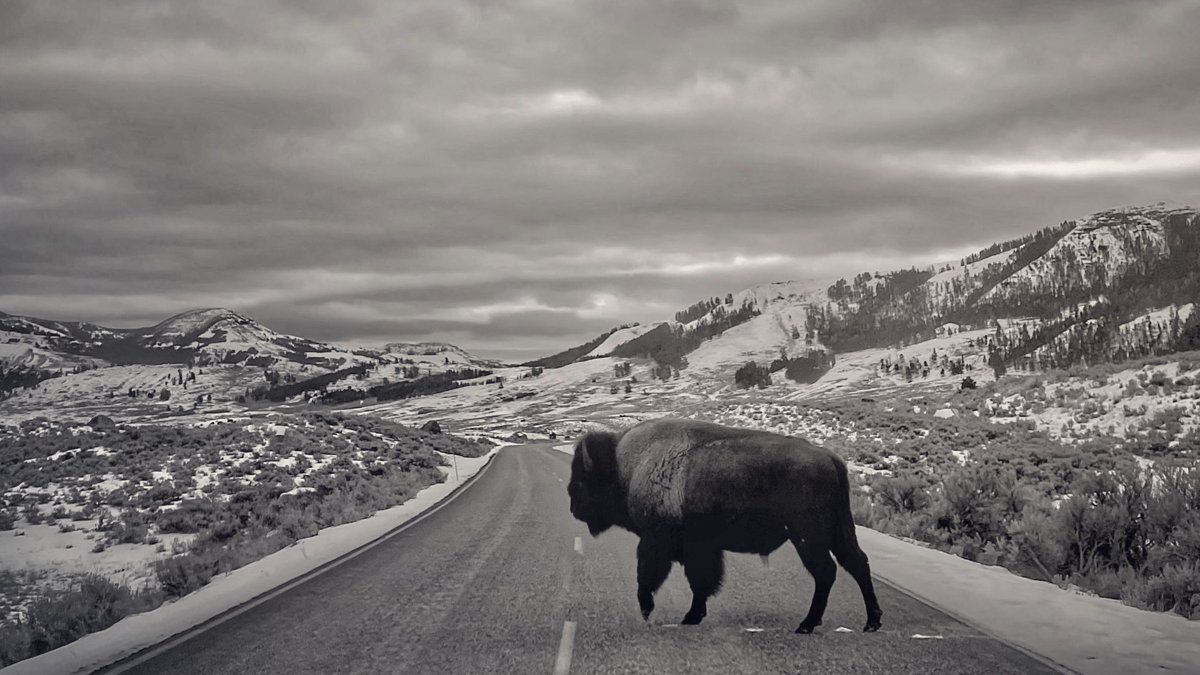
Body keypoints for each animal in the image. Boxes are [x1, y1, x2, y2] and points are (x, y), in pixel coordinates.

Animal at [567, 417, 883, 633]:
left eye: (582, 480)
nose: (572, 505)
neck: (625, 467)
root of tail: (830, 457)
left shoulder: (658, 542)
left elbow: (652, 576)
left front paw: (652, 611)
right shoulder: (700, 549)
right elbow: (701, 583)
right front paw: (692, 616)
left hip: (807, 536)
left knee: (826, 571)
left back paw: (807, 624)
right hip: (838, 530)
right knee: (856, 563)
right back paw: (871, 622)